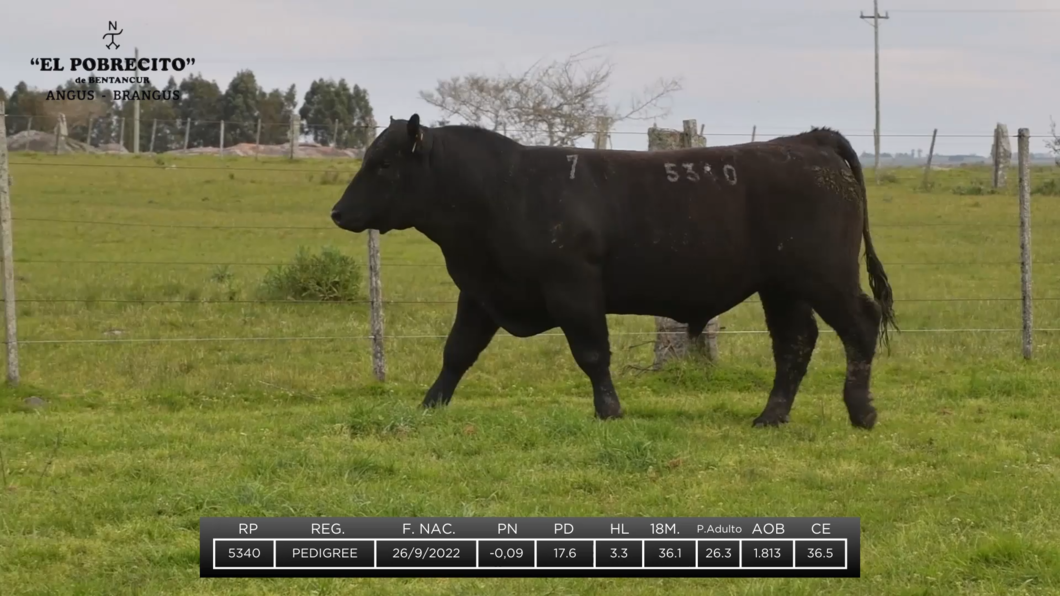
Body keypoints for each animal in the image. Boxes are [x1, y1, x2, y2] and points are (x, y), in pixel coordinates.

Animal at [330, 113, 894, 426]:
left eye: (383, 164)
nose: (338, 212)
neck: (503, 189)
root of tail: (806, 141)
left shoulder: (573, 287)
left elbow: (592, 353)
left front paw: (609, 410)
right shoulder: (481, 291)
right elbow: (457, 352)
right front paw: (430, 405)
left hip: (825, 276)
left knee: (860, 326)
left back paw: (861, 411)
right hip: (782, 287)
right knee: (795, 344)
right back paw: (770, 416)